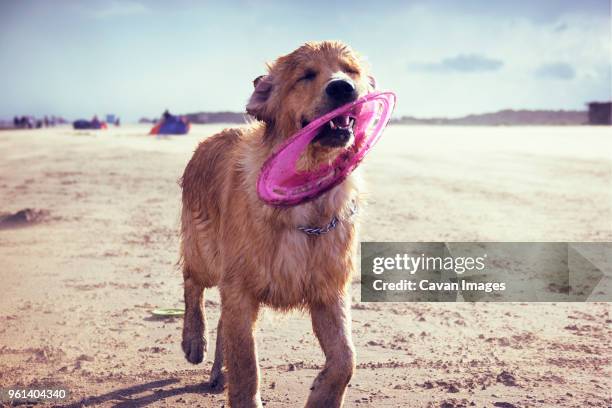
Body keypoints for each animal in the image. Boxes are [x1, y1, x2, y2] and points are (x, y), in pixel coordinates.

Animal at [179, 39, 376, 406]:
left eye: (350, 71)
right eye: (306, 75)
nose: (343, 87)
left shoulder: (329, 290)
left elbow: (346, 358)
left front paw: (322, 396)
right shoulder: (240, 288)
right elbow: (246, 364)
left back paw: (217, 371)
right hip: (206, 253)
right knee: (191, 284)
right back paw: (193, 341)